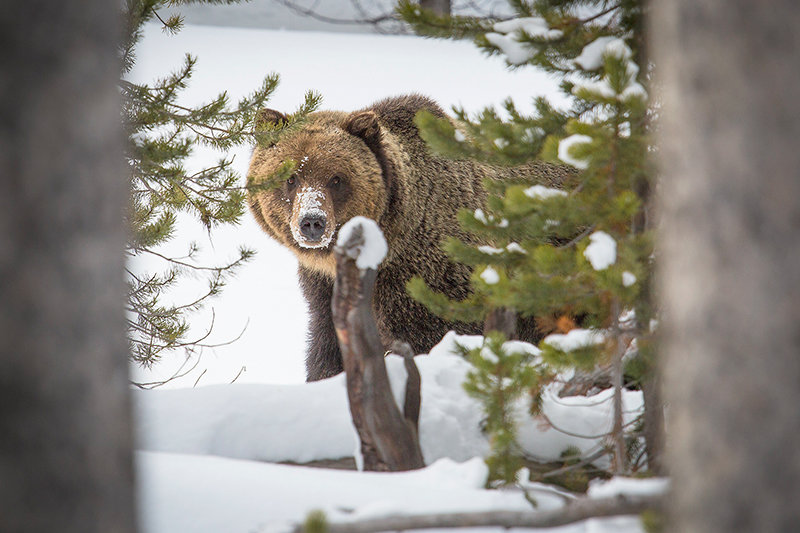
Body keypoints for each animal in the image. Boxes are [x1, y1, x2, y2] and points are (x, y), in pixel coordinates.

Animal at [247, 93, 564, 380]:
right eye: (290, 178)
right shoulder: (324, 288)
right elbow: (328, 347)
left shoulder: (426, 280)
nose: (312, 221)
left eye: (336, 179)